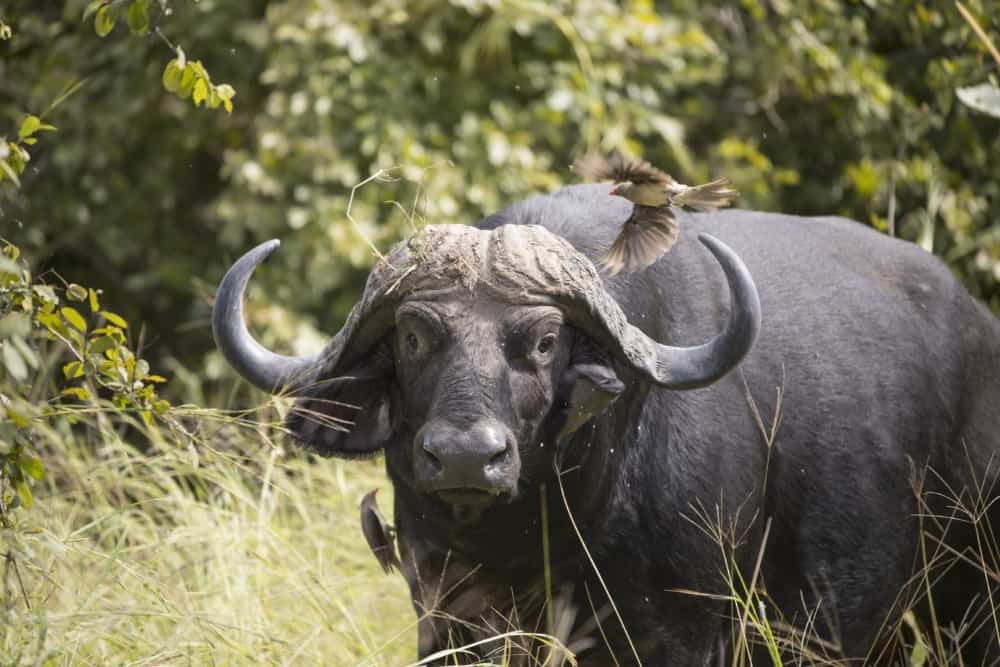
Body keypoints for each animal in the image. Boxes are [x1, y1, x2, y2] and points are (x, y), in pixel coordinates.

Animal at [213, 184, 1000, 665]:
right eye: (412, 337)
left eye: (543, 340)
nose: (466, 457)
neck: (544, 529)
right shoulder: (447, 615)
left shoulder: (678, 632)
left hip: (970, 601)